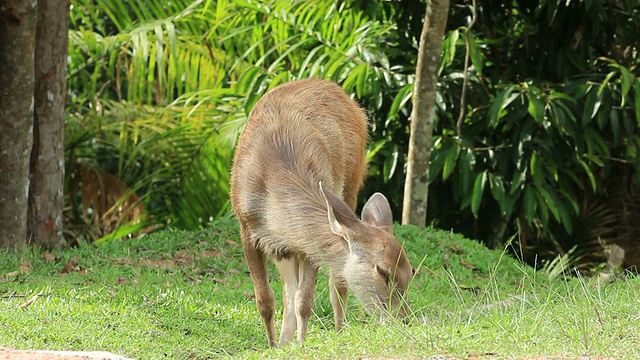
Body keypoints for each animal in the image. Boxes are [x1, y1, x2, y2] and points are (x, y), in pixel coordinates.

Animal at [230, 78, 416, 346]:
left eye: (411, 272)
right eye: (382, 270)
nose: (404, 320)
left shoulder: (308, 244)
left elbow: (304, 301)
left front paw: (300, 344)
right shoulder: (246, 227)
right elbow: (265, 300)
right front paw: (274, 346)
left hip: (352, 181)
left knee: (335, 285)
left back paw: (336, 331)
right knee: (289, 288)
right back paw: (285, 340)